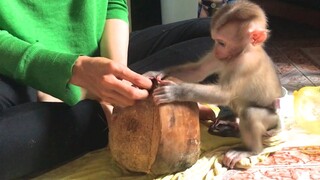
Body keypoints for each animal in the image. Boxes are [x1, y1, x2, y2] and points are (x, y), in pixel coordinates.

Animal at [146, 0, 282, 169]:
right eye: (216, 41)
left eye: (222, 43)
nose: (216, 50)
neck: (242, 52)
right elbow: (198, 71)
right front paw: (157, 73)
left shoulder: (245, 64)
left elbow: (224, 94)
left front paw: (174, 91)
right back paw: (230, 122)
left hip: (273, 121)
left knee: (249, 114)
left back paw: (251, 150)